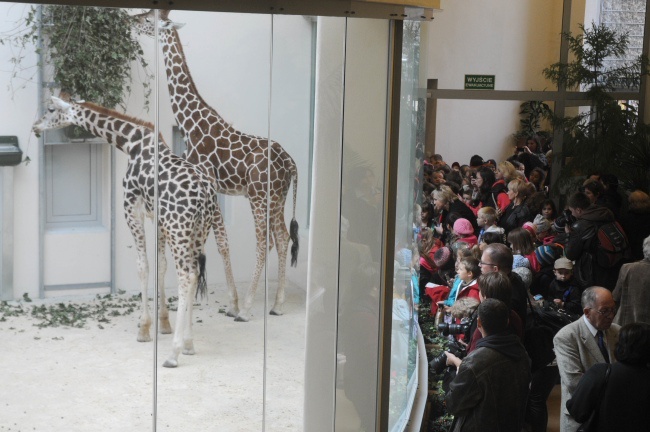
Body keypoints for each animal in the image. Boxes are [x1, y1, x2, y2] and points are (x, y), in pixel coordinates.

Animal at [31, 95, 237, 368]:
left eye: (51, 109)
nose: (35, 126)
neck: (131, 143)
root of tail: (206, 193)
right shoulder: (158, 219)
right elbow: (160, 266)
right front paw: (164, 323)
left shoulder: (132, 209)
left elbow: (143, 266)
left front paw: (144, 328)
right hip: (198, 231)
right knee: (193, 275)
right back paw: (189, 343)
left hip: (180, 230)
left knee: (187, 276)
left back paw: (174, 353)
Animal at [135, 10, 302, 322]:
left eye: (150, 18)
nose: (133, 20)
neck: (190, 123)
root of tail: (290, 162)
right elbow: (216, 243)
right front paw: (223, 301)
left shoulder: (209, 183)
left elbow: (221, 243)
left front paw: (232, 304)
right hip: (278, 197)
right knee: (283, 238)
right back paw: (277, 304)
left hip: (259, 196)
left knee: (265, 243)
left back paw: (247, 309)